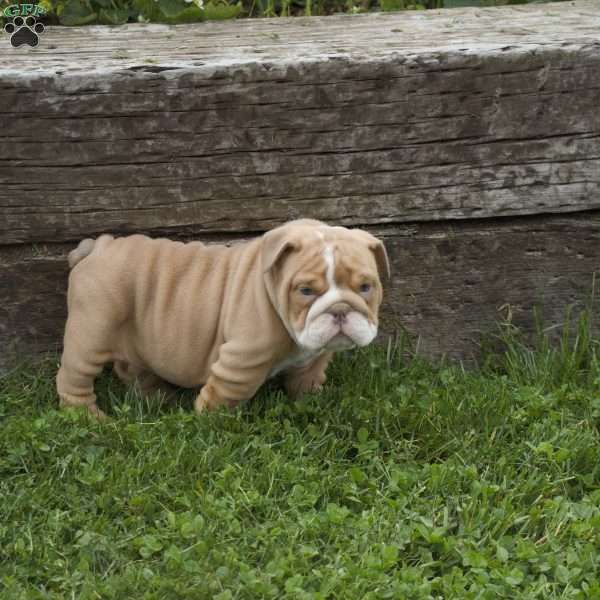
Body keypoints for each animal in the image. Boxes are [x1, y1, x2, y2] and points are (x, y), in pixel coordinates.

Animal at [56, 218, 390, 420]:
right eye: (305, 290)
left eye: (366, 286)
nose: (340, 309)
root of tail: (99, 246)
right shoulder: (242, 362)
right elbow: (227, 394)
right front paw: (210, 422)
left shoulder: (314, 357)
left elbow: (306, 379)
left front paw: (312, 402)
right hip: (92, 332)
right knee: (74, 376)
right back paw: (89, 417)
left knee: (132, 368)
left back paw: (160, 398)